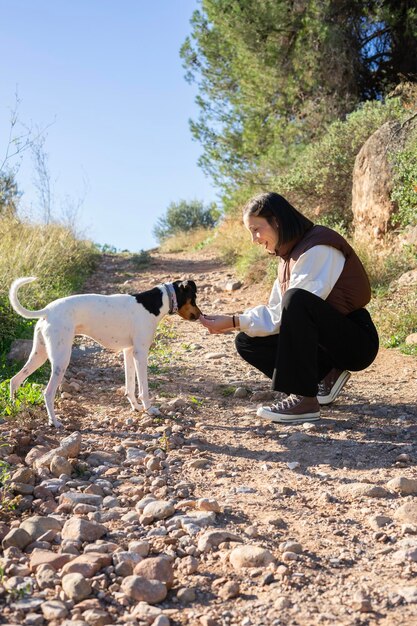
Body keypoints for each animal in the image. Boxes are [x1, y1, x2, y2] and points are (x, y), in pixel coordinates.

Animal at [8, 276, 200, 426]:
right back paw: (54, 422)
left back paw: (14, 407)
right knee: (47, 393)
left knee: (14, 380)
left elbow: (130, 386)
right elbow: (143, 388)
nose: (200, 315)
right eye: (194, 298)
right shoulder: (141, 353)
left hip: (39, 355)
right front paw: (149, 409)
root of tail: (48, 310)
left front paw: (136, 407)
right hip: (61, 360)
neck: (154, 302)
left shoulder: (129, 352)